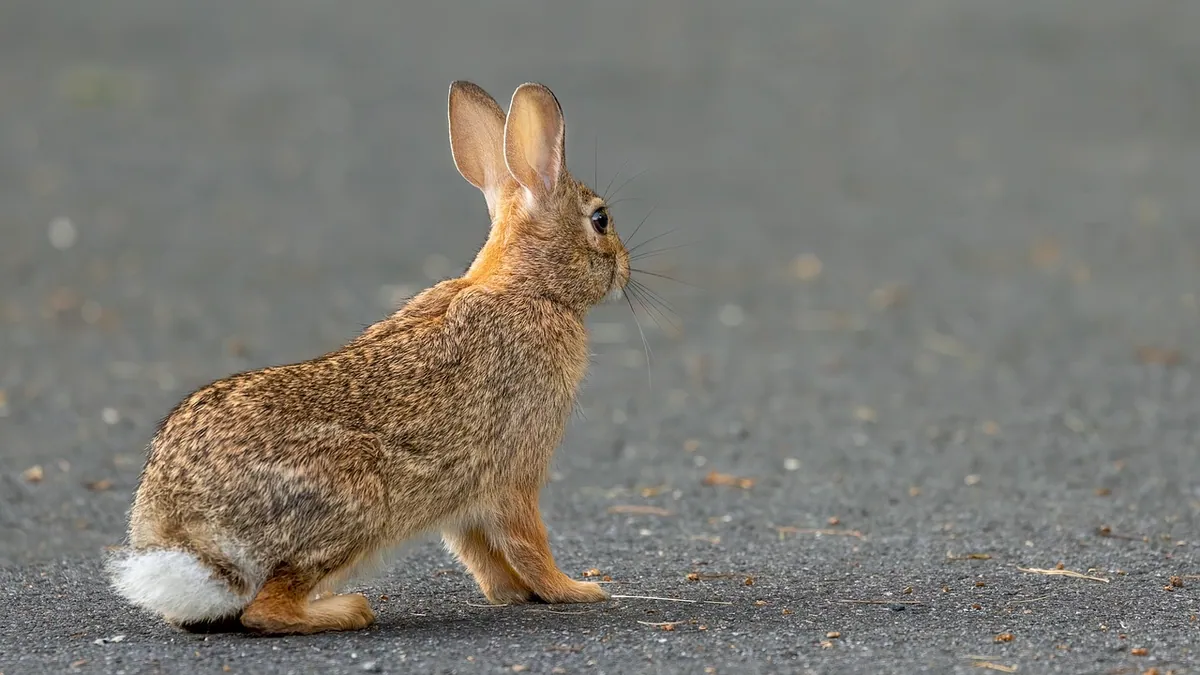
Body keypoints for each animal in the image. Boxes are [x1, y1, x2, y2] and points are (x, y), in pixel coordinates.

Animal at [106, 80, 631, 635]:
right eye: (600, 220)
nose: (625, 266)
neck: (529, 286)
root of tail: (181, 540)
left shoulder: (464, 499)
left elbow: (478, 551)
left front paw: (511, 594)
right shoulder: (516, 471)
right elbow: (529, 542)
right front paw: (576, 591)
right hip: (355, 496)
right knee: (265, 608)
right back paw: (349, 609)